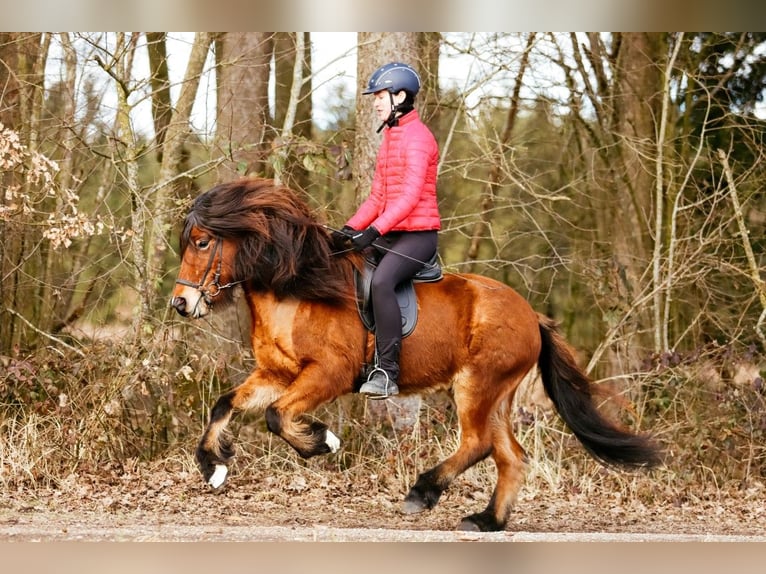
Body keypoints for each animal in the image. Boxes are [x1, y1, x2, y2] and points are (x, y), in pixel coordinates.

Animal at [170, 176, 661, 532]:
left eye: (201, 242)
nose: (181, 304)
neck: (297, 288)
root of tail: (531, 315)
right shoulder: (275, 373)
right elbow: (225, 404)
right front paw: (213, 468)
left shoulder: (328, 373)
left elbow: (277, 416)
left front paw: (322, 442)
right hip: (497, 396)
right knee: (510, 456)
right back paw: (486, 521)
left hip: (476, 387)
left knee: (478, 443)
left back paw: (422, 493)